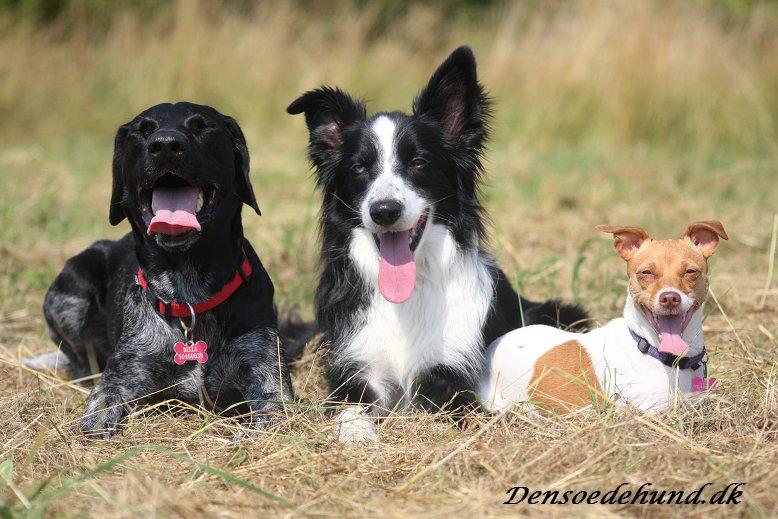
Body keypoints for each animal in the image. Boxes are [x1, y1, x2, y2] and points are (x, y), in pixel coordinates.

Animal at [37, 101, 292, 438]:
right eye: (143, 130)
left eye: (202, 126)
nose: (166, 145)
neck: (189, 296)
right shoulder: (123, 373)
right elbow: (100, 405)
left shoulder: (266, 376)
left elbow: (270, 414)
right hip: (69, 288)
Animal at [288, 45, 584, 442]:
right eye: (359, 167)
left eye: (418, 162)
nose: (385, 211)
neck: (407, 298)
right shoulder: (356, 366)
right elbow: (351, 410)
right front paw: (357, 435)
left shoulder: (451, 373)